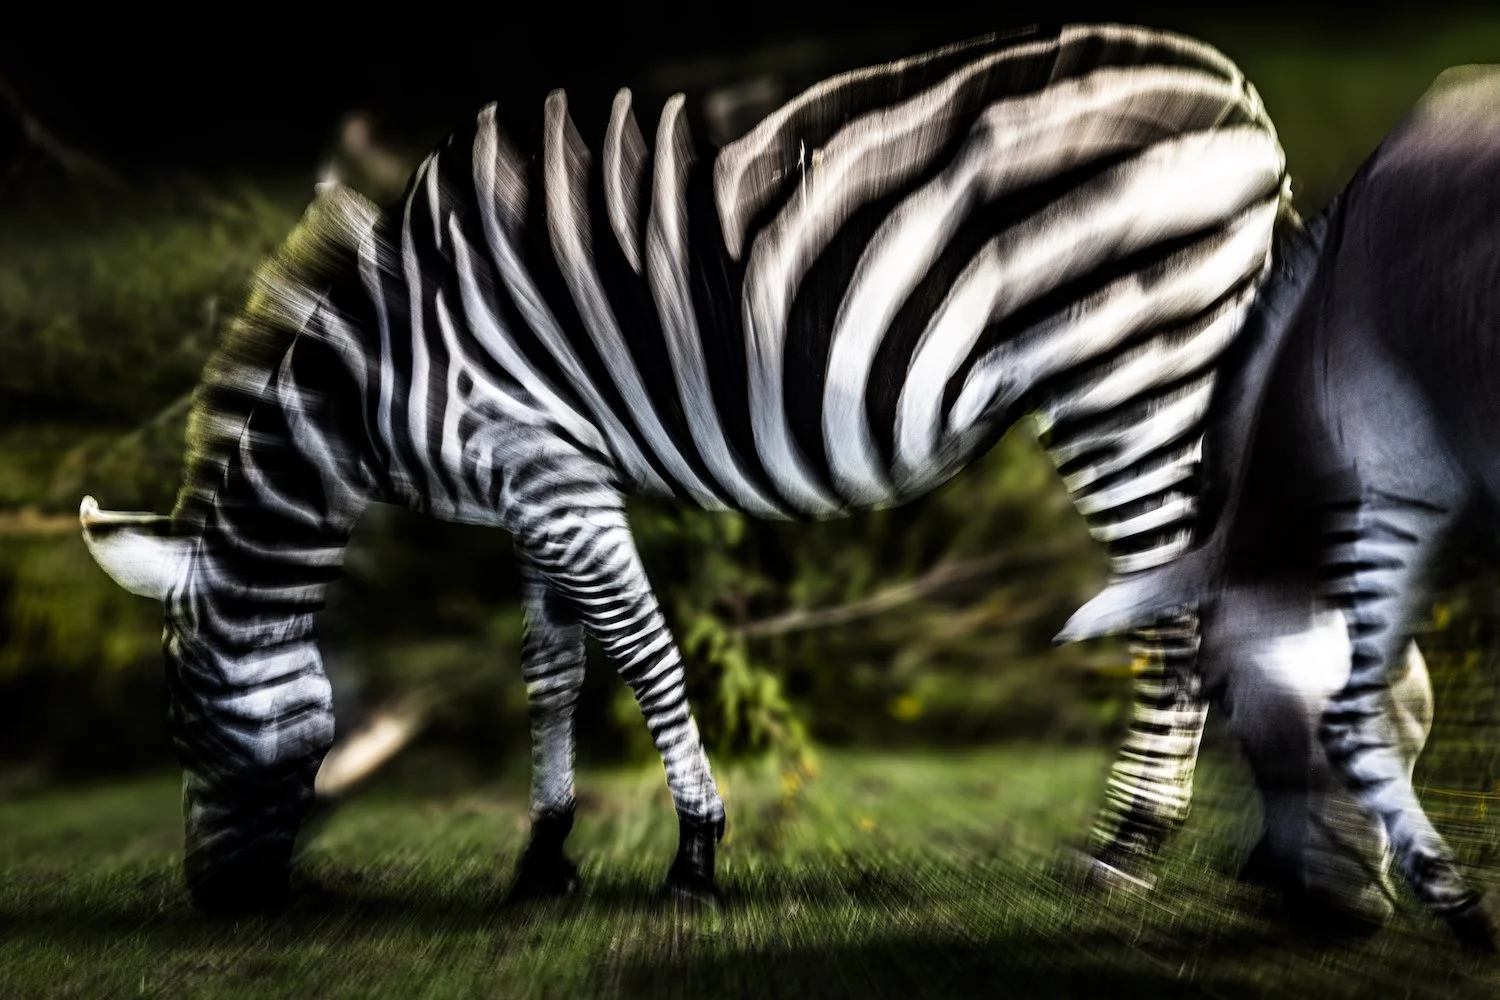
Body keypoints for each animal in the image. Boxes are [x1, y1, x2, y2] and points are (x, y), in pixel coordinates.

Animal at [76, 22, 1292, 916]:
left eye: (182, 721)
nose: (213, 902)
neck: (379, 375)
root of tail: (1236, 90)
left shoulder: (557, 484)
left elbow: (644, 656)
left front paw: (695, 859)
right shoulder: (532, 486)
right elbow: (554, 670)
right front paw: (544, 860)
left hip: (1129, 371)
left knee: (1175, 615)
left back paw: (1126, 850)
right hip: (1187, 367)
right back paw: (1269, 858)